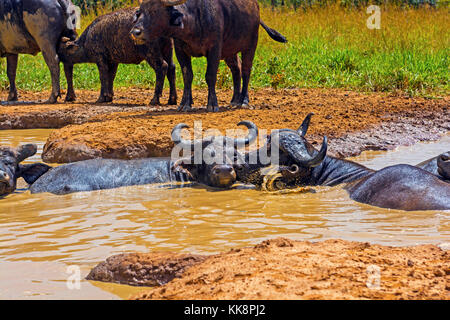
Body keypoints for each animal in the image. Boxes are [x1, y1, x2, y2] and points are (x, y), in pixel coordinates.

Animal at [130, 0, 286, 112]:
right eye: (140, 12)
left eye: (155, 11)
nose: (135, 32)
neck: (193, 21)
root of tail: (256, 7)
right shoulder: (180, 51)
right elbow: (187, 75)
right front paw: (185, 104)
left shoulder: (214, 50)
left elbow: (210, 76)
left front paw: (212, 104)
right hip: (230, 51)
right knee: (237, 69)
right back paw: (234, 100)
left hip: (250, 45)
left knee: (246, 71)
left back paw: (243, 101)